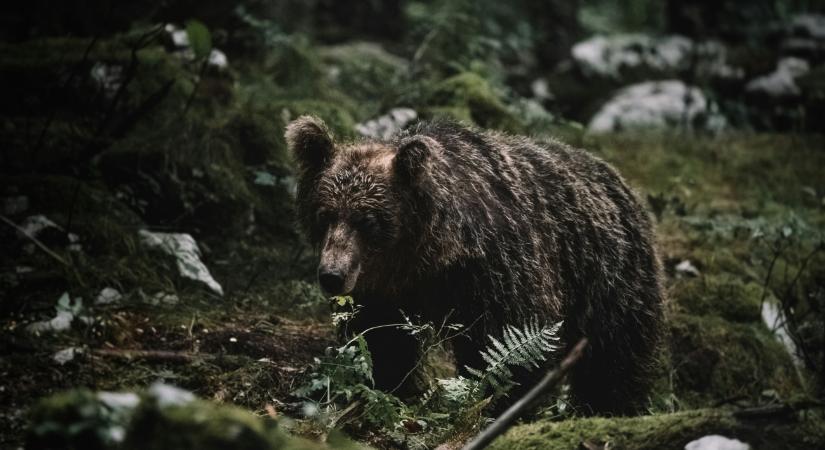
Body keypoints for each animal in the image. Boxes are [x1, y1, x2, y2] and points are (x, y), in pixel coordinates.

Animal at [284, 115, 664, 414]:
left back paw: (609, 406)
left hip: (611, 277)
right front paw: (391, 387)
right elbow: (382, 339)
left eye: (368, 220)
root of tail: (618, 179)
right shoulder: (383, 290)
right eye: (325, 214)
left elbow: (510, 341)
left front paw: (498, 402)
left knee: (615, 355)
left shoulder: (497, 270)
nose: (332, 276)